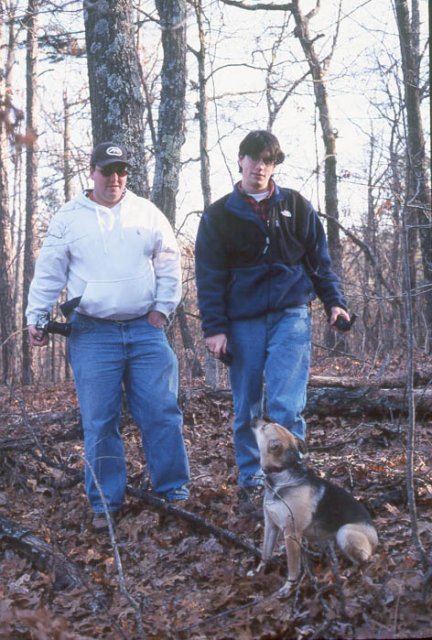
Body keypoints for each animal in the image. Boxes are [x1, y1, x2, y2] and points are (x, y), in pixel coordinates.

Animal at [251, 420, 376, 596]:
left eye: (264, 427)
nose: (255, 418)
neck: (282, 473)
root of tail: (376, 539)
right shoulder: (270, 525)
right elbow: (265, 553)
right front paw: (258, 572)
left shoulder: (291, 533)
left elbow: (293, 567)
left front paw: (288, 586)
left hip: (345, 532)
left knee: (366, 559)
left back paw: (351, 570)